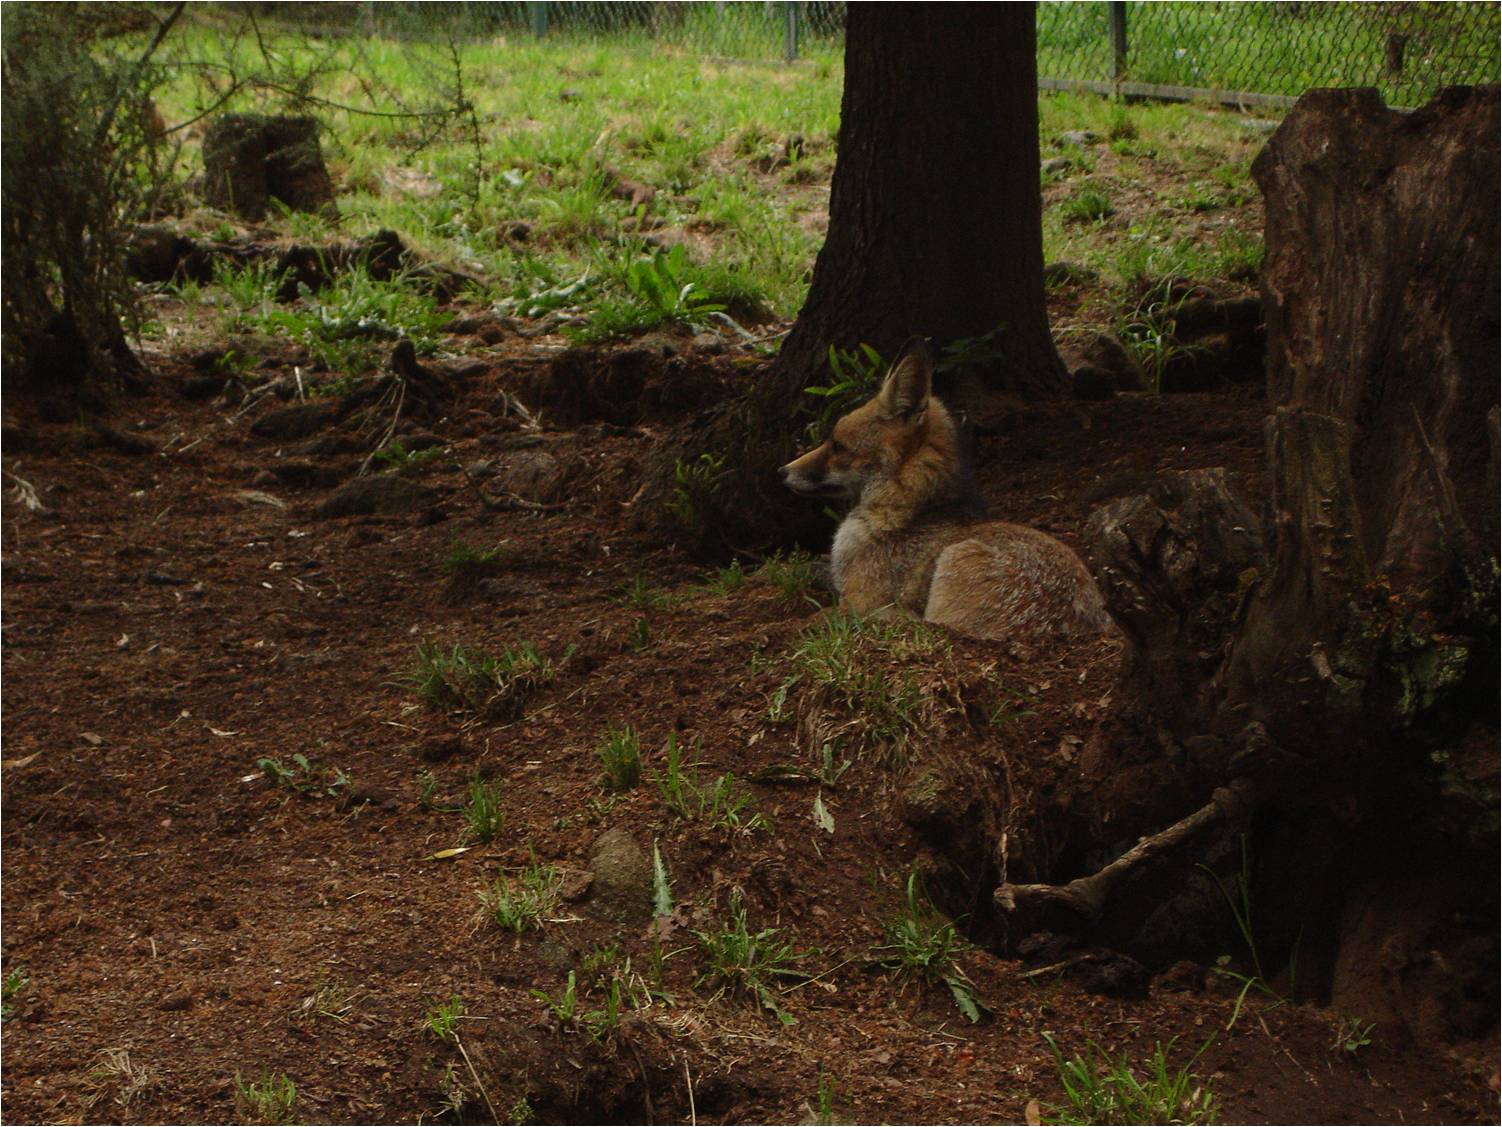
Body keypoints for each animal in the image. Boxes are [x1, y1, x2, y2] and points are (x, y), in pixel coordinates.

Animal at [779, 338, 1115, 643]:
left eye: (838, 446)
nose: (782, 472)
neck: (905, 513)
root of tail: (1071, 628)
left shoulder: (856, 603)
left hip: (954, 566)